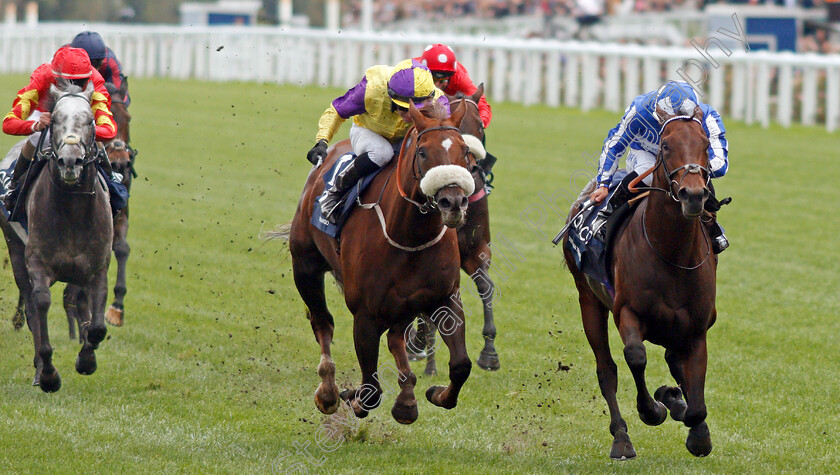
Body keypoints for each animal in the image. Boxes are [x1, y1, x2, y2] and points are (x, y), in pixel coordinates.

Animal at [0, 82, 112, 394]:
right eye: (56, 120)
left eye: (91, 120)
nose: (70, 161)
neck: (72, 210)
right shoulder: (37, 262)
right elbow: (39, 305)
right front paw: (48, 373)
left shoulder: (97, 266)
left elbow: (97, 324)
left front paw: (86, 360)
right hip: (15, 251)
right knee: (31, 308)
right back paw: (41, 370)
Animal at [274, 100, 472, 424]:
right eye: (422, 151)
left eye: (465, 150)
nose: (453, 202)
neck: (409, 237)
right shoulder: (365, 315)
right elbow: (371, 390)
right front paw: (352, 396)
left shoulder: (445, 298)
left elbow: (461, 365)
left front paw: (434, 393)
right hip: (305, 266)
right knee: (322, 323)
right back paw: (328, 391)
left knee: (395, 338)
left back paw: (407, 396)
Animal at [564, 109, 716, 460]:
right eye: (666, 145)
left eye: (705, 144)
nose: (693, 195)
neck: (671, 254)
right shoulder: (626, 312)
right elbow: (635, 356)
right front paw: (653, 410)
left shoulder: (697, 328)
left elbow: (696, 400)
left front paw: (695, 429)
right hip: (588, 300)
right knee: (606, 370)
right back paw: (621, 438)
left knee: (674, 361)